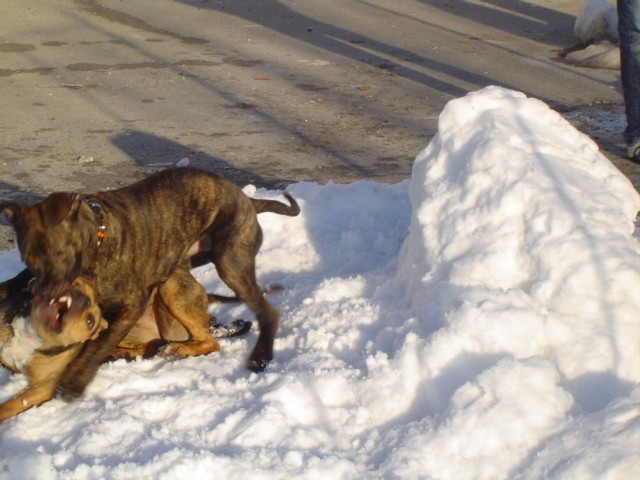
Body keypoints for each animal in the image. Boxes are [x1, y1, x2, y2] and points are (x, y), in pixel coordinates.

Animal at [0, 167, 300, 400]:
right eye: (27, 259)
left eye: (59, 252)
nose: (39, 295)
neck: (97, 241)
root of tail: (247, 199)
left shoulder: (131, 305)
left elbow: (98, 344)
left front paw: (76, 382)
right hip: (182, 264)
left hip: (225, 265)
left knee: (254, 318)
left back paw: (258, 354)